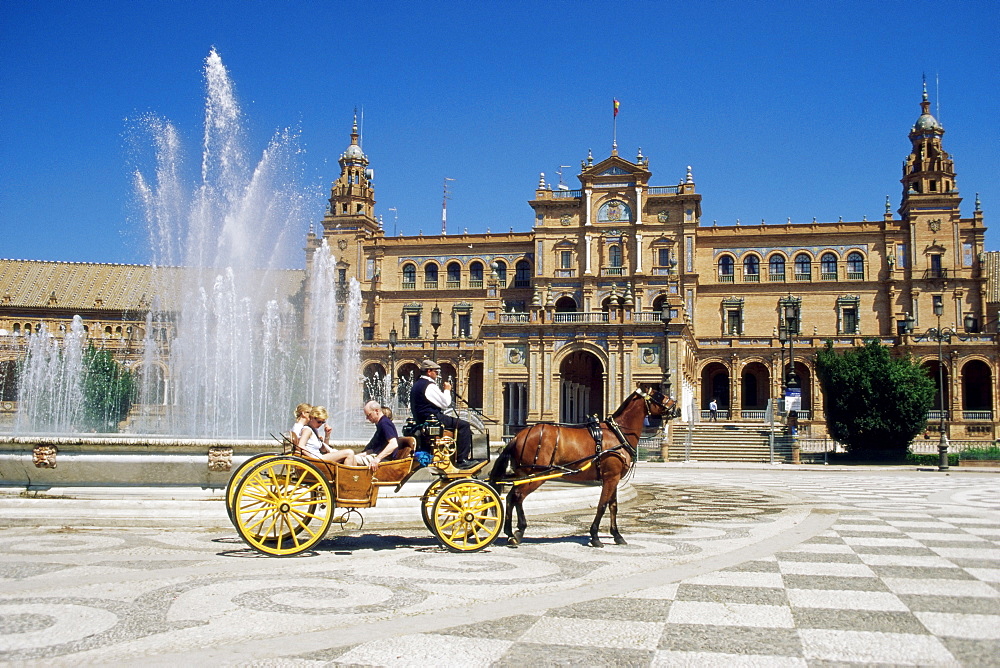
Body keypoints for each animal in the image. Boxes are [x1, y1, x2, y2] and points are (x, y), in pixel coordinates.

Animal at [486, 386, 676, 548]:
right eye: (659, 395)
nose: (677, 409)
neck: (618, 433)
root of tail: (518, 436)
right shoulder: (610, 478)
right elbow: (602, 505)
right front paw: (595, 536)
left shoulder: (614, 478)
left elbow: (613, 506)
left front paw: (617, 535)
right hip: (535, 475)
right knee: (518, 496)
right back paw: (517, 532)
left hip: (523, 475)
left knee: (511, 497)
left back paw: (511, 532)